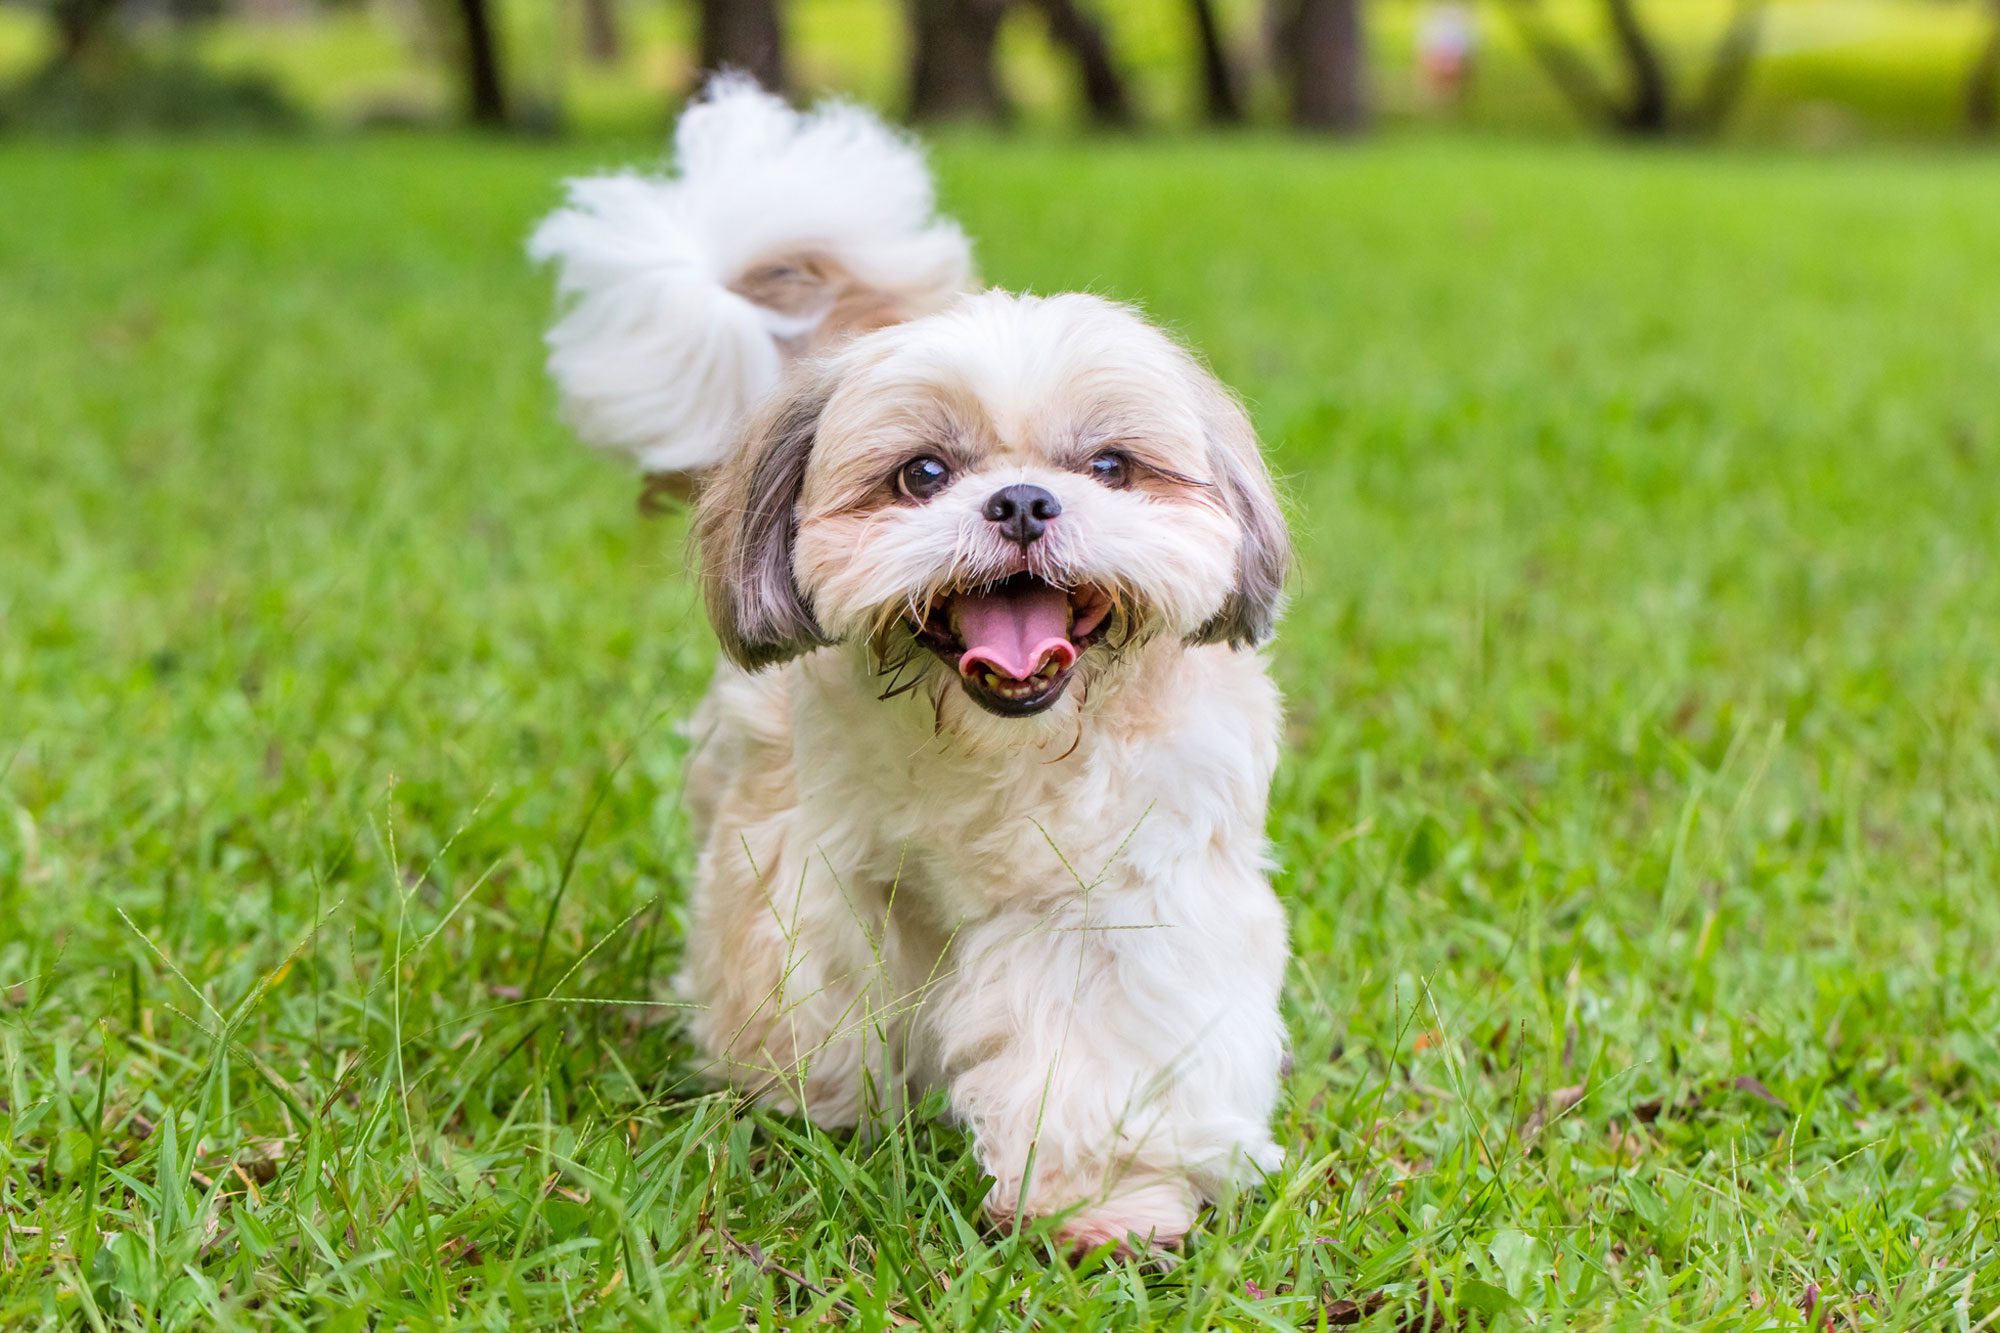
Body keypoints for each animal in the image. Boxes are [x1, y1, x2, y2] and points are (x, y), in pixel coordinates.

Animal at [528, 80, 1296, 1248]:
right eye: (922, 473)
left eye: (1110, 465)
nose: (1021, 500)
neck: (1003, 746)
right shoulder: (825, 870)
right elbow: (827, 992)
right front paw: (821, 1111)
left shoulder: (1124, 901)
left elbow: (1103, 1050)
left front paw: (1101, 1203)